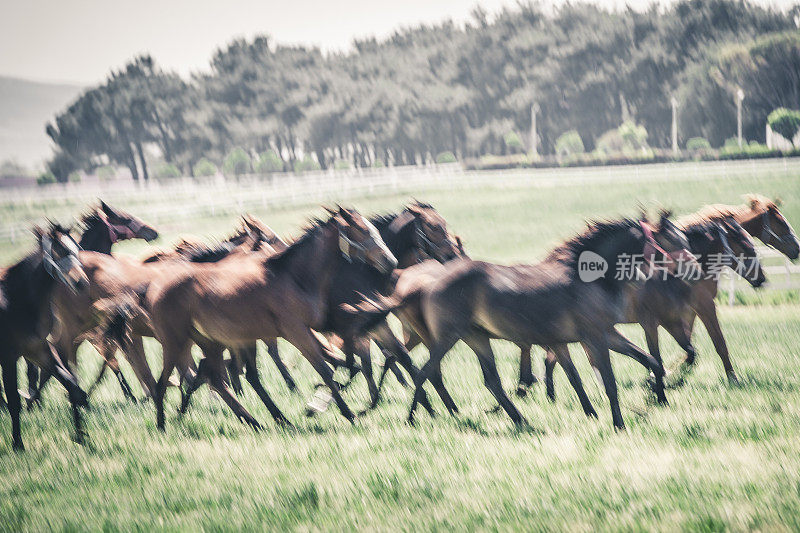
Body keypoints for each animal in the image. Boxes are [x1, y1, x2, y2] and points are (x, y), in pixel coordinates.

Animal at [0, 222, 90, 450]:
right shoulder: (8, 357)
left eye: (76, 249)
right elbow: (14, 400)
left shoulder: (37, 349)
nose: (81, 282)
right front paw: (17, 444)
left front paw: (81, 436)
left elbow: (72, 385)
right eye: (60, 250)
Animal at [145, 206, 398, 430]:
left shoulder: (307, 330)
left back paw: (263, 421)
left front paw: (321, 403)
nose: (390, 261)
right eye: (362, 230)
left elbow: (347, 364)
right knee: (163, 382)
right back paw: (162, 424)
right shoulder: (295, 331)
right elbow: (325, 369)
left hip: (214, 342)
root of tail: (156, 289)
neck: (295, 277)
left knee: (218, 377)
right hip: (176, 342)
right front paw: (343, 412)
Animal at [390, 211, 696, 428]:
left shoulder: (603, 334)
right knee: (425, 372)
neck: (588, 279)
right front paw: (619, 423)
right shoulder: (595, 337)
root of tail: (430, 283)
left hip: (476, 337)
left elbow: (650, 361)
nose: (693, 267)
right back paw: (413, 418)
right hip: (447, 337)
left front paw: (654, 396)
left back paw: (520, 420)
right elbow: (608, 381)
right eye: (671, 241)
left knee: (491, 382)